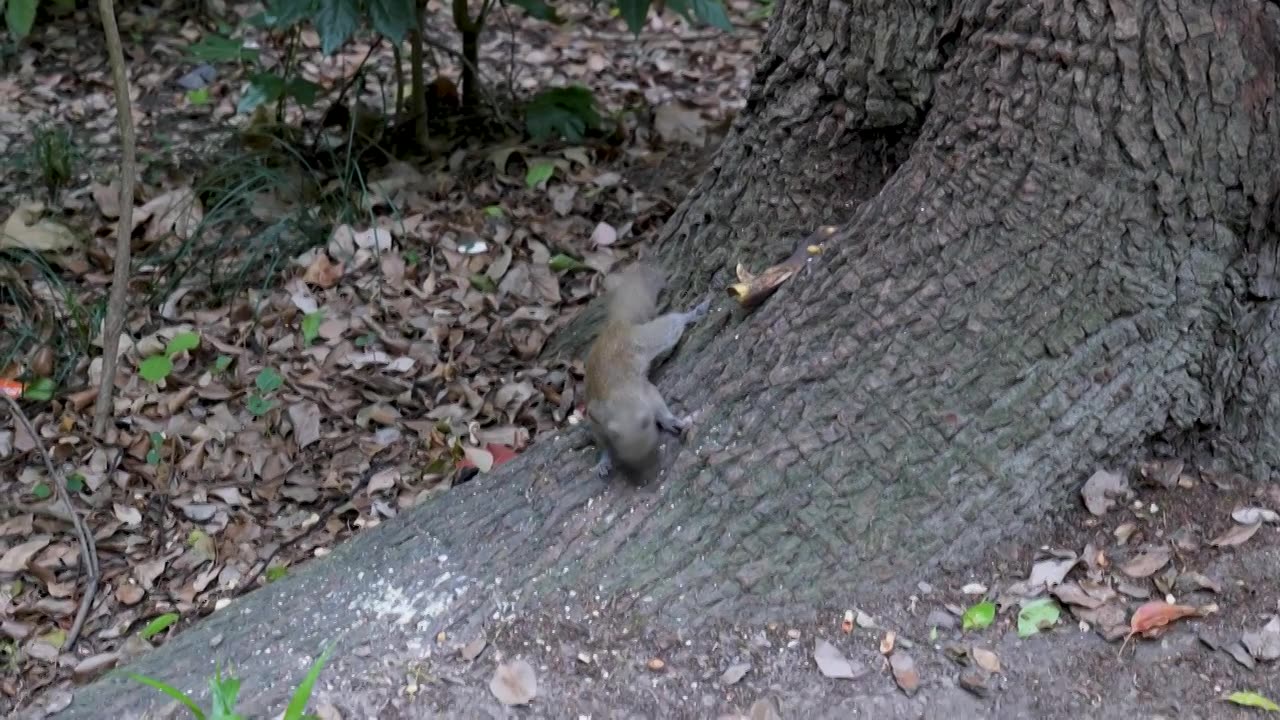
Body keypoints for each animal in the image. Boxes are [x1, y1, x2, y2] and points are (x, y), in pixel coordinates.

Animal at [586, 260, 716, 484]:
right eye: (628, 461)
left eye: (653, 451)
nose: (648, 478)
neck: (622, 401)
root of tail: (617, 326)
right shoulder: (597, 416)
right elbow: (601, 440)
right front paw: (604, 460)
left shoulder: (644, 391)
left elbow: (658, 402)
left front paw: (670, 420)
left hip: (652, 337)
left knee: (673, 323)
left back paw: (695, 312)